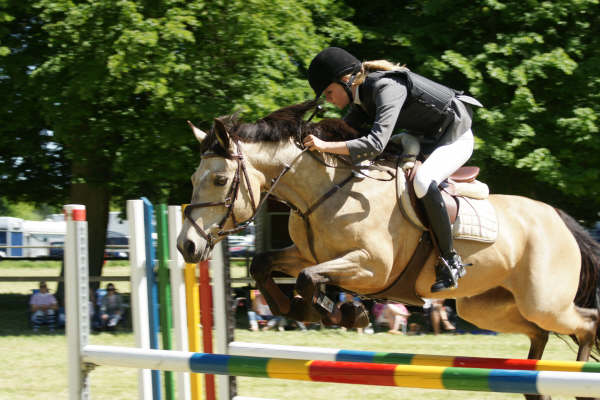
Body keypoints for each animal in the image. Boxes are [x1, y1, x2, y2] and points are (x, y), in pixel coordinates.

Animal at [177, 101, 600, 400]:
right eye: (195, 178)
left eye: (220, 179)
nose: (186, 245)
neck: (327, 190)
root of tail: (560, 219)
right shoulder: (308, 254)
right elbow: (264, 264)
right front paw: (296, 308)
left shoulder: (370, 268)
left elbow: (309, 279)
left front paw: (337, 311)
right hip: (485, 306)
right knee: (539, 333)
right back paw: (535, 385)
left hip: (543, 300)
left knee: (586, 324)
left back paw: (579, 385)